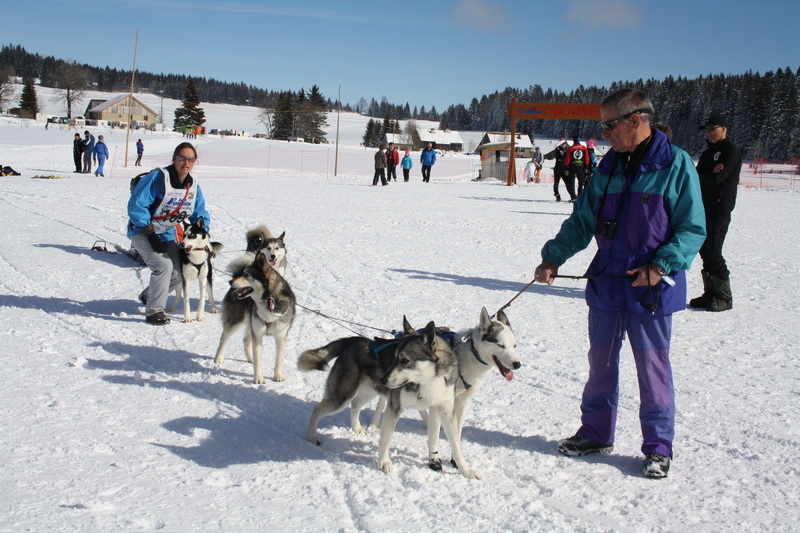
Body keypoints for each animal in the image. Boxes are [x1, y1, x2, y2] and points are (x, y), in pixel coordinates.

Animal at [214, 250, 296, 382]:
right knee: (223, 338)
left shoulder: (280, 336)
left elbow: (279, 359)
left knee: (246, 340)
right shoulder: (257, 335)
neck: (269, 300)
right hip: (236, 321)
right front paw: (258, 378)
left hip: (251, 324)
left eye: (247, 275)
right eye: (243, 273)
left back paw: (250, 358)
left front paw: (278, 375)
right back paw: (219, 357)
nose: (230, 282)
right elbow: (258, 361)